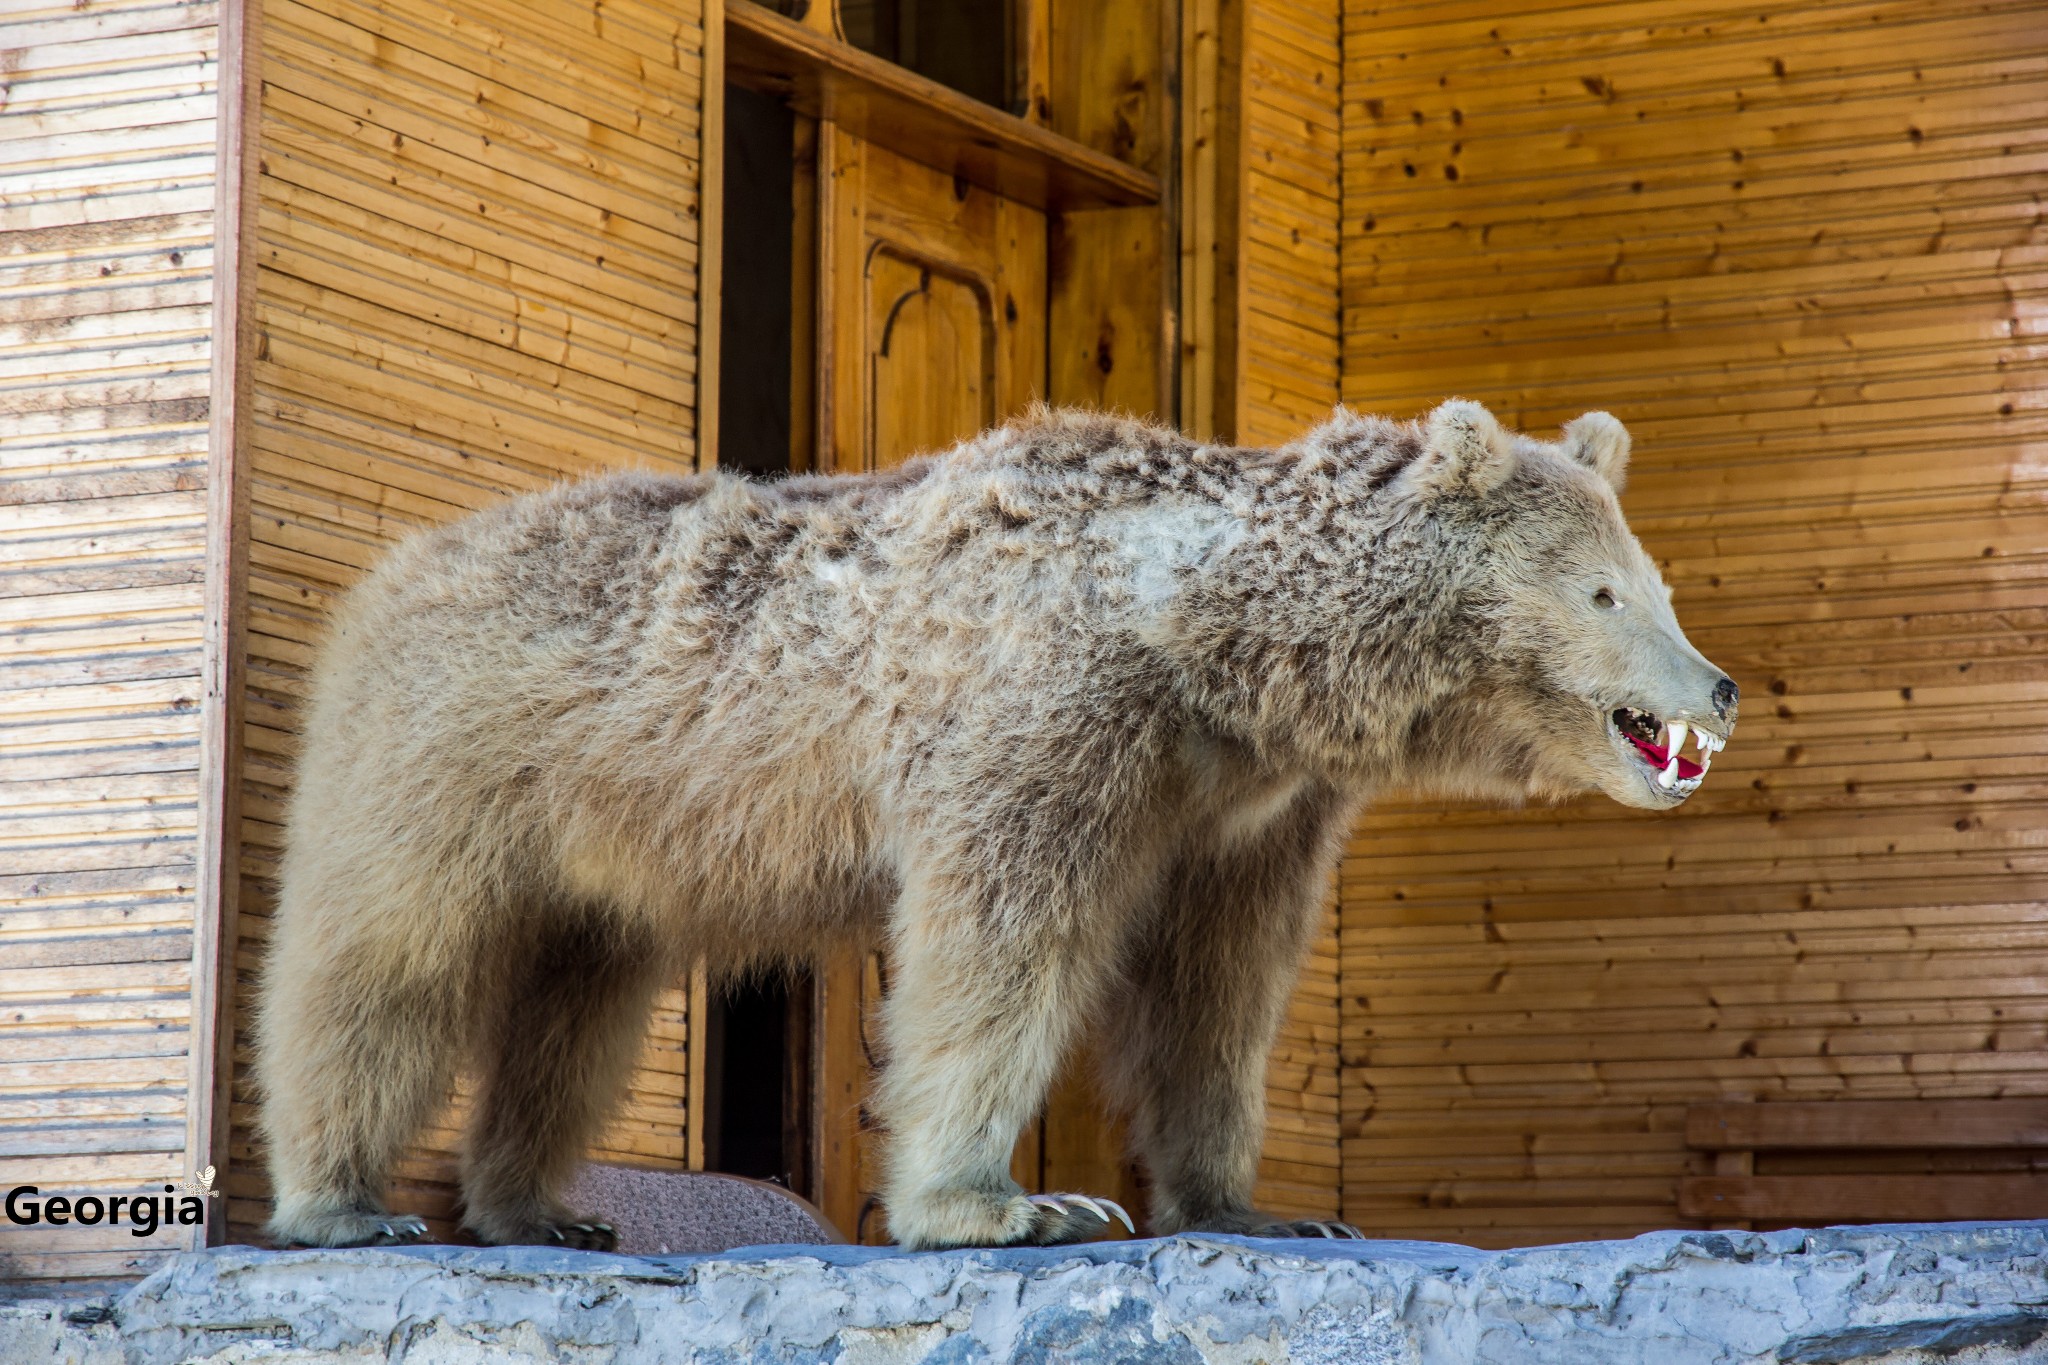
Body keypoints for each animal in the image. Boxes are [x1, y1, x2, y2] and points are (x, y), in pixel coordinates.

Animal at [251, 397, 1728, 1252]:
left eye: (1653, 580)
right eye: (1604, 592)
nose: (1714, 684)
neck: (1216, 647)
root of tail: (401, 559)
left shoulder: (1245, 811)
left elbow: (1217, 994)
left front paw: (1260, 1204)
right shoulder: (1051, 722)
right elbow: (1002, 944)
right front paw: (1017, 1202)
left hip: (608, 844)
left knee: (575, 1008)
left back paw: (539, 1209)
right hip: (453, 759)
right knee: (379, 962)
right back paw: (344, 1208)